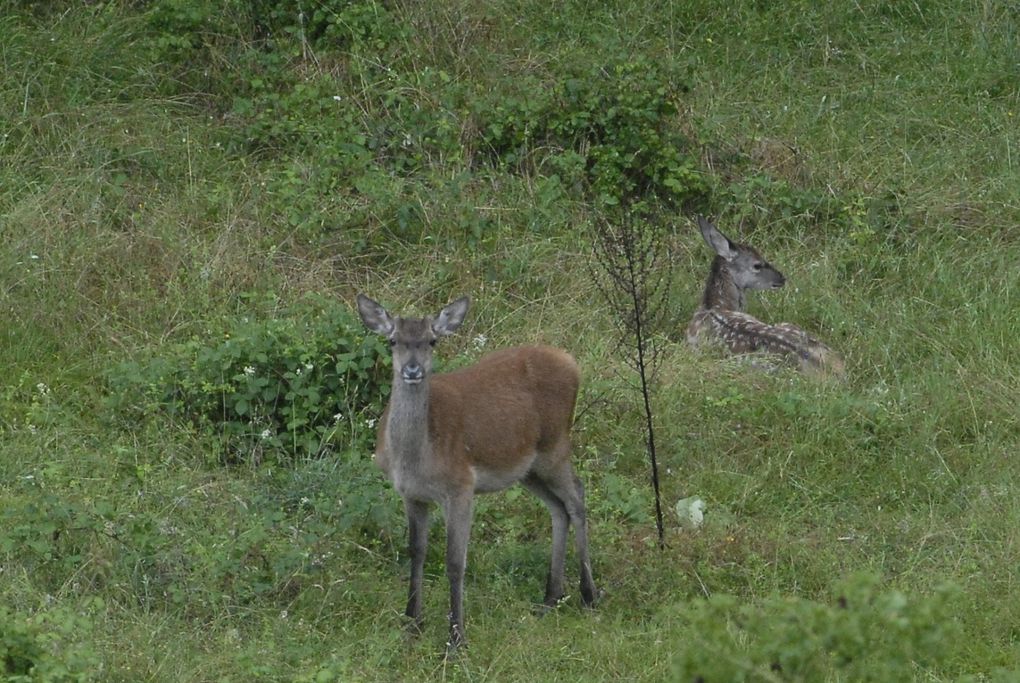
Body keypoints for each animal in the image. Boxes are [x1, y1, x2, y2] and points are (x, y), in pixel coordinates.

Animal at [357, 293, 595, 652]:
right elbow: (416, 552)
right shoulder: (411, 494)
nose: (412, 370)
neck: (416, 458)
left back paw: (589, 594)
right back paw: (550, 597)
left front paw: (456, 637)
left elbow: (456, 562)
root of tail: (571, 361)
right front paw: (412, 622)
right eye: (393, 340)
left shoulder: (460, 486)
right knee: (559, 508)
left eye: (432, 340)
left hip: (555, 445)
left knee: (577, 498)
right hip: (528, 468)